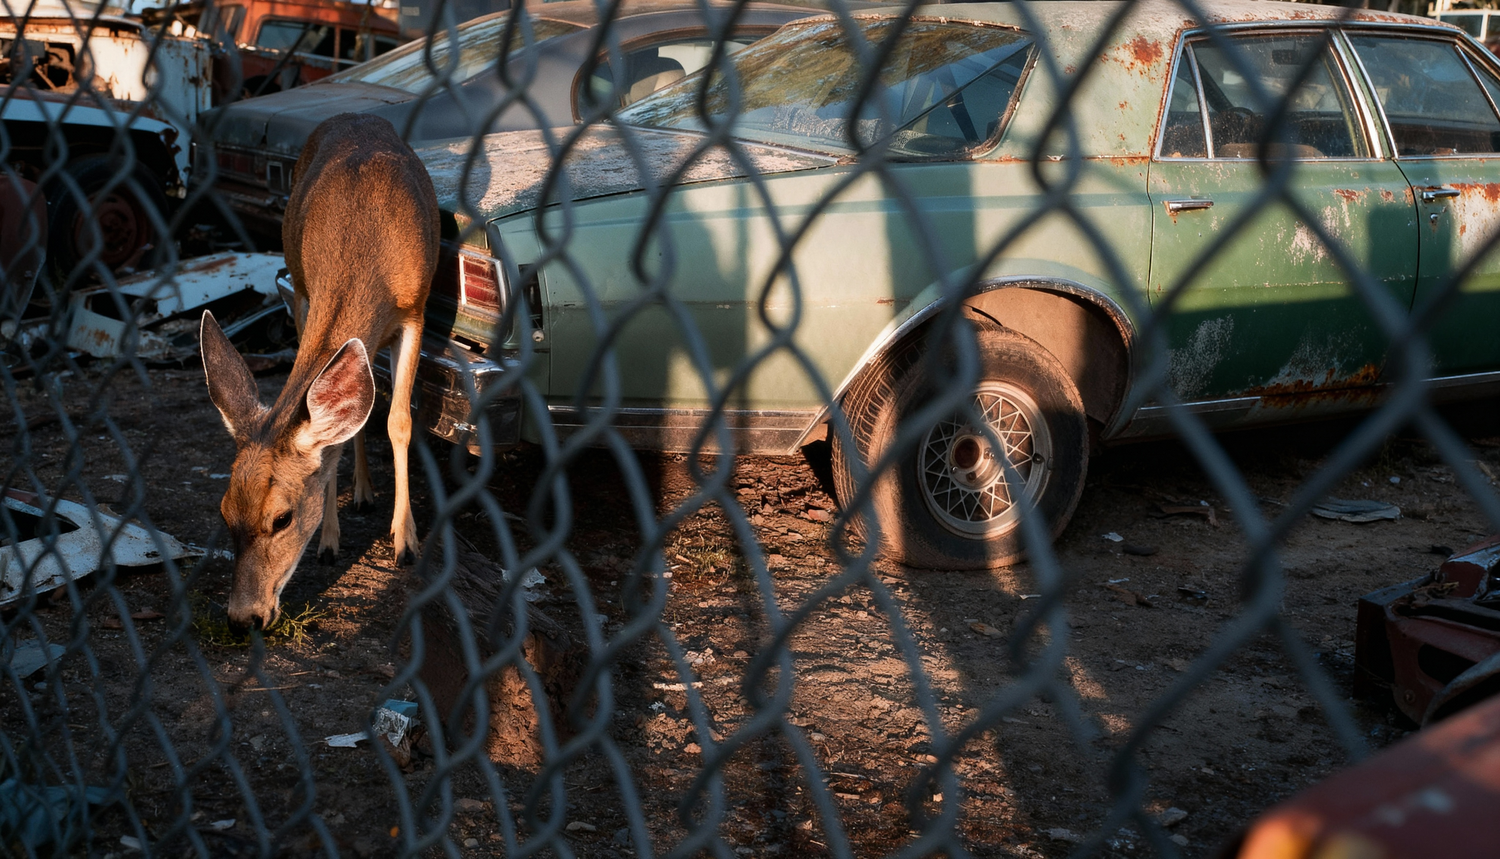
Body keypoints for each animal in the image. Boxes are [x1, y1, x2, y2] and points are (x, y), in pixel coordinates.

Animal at [201, 113, 438, 631]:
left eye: (282, 519)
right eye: (224, 513)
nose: (242, 619)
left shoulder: (415, 311)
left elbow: (399, 421)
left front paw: (405, 541)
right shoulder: (305, 293)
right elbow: (335, 438)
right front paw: (330, 541)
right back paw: (360, 495)